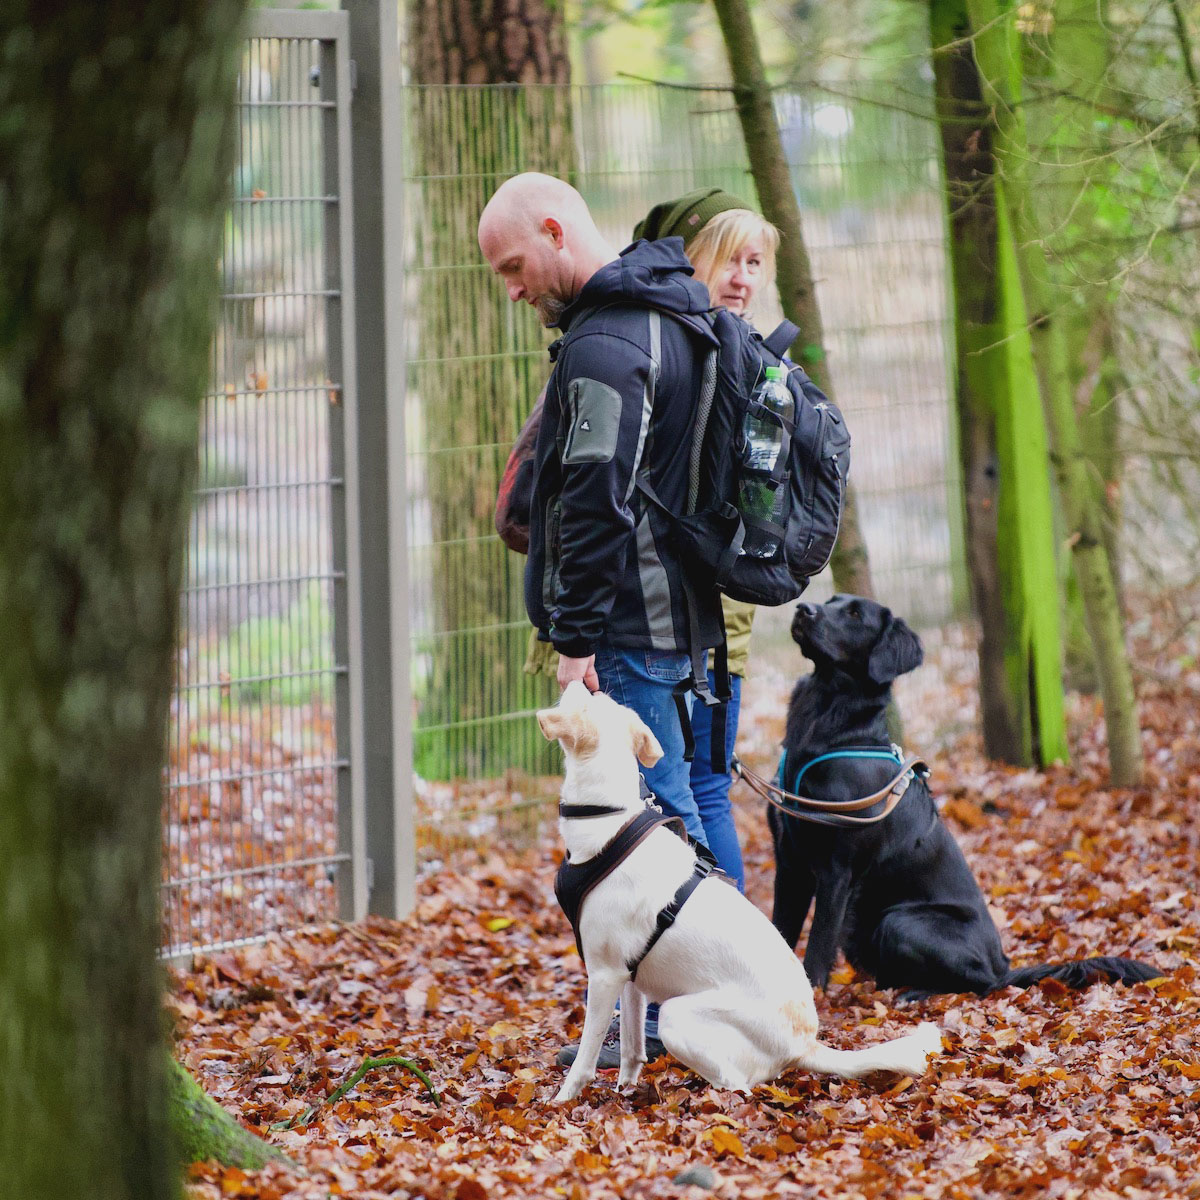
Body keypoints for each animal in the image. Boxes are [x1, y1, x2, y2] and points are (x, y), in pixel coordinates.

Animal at [540, 681, 940, 1099]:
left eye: (585, 699)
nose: (579, 680)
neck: (611, 822)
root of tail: (805, 1044)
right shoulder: (629, 979)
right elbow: (632, 1051)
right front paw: (625, 1092)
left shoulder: (604, 976)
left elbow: (585, 1060)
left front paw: (562, 1101)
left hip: (675, 1015)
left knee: (739, 1085)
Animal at [768, 595, 1161, 998]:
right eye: (830, 601)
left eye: (855, 614)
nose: (803, 609)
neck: (831, 727)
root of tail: (1003, 966)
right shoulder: (790, 861)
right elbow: (780, 931)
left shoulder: (836, 870)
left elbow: (816, 950)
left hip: (902, 921)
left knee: (978, 983)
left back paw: (917, 993)